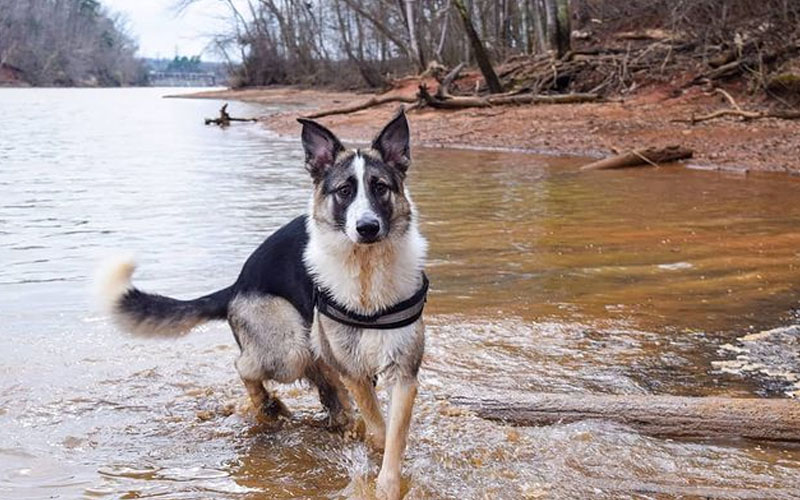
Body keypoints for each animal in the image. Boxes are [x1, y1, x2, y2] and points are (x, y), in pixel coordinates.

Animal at [98, 110, 432, 500]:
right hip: (290, 348)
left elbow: (393, 435)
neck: (366, 275)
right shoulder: (353, 371)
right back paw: (267, 406)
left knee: (328, 393)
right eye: (345, 191)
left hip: (310, 351)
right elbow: (378, 428)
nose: (367, 228)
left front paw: (389, 482)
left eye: (380, 187)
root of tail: (237, 285)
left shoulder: (403, 373)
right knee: (245, 365)